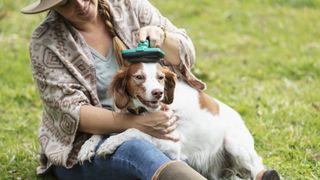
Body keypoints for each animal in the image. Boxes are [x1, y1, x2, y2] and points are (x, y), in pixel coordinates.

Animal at [78, 62, 280, 179]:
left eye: (160, 78)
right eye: (139, 77)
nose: (158, 93)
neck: (145, 112)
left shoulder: (171, 143)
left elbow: (135, 130)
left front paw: (109, 144)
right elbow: (101, 131)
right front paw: (86, 147)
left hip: (234, 144)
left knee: (256, 168)